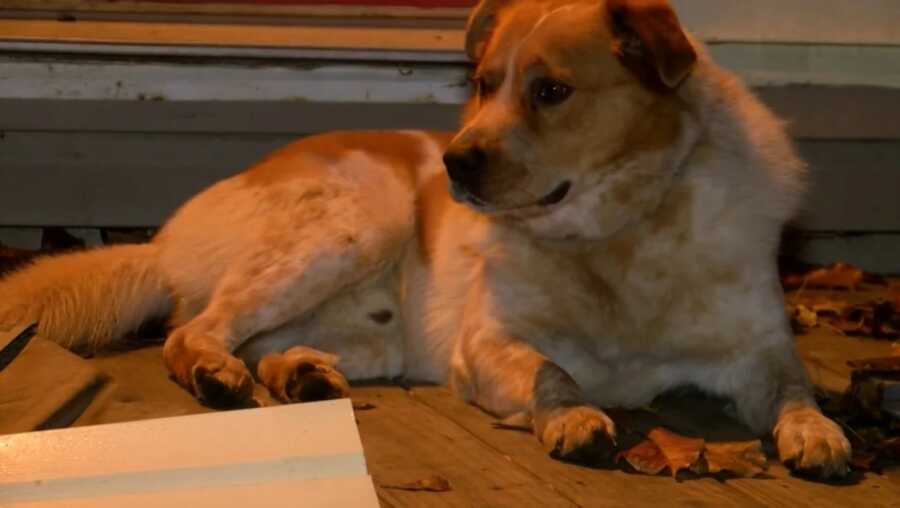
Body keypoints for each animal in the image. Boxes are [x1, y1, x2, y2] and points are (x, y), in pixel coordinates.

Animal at [0, 0, 852, 476]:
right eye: (483, 83)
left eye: (551, 91)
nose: (454, 164)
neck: (621, 236)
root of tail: (167, 237)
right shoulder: (488, 342)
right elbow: (552, 372)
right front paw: (573, 417)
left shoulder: (757, 352)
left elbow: (795, 388)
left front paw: (820, 435)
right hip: (360, 220)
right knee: (194, 331)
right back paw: (217, 373)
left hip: (377, 329)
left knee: (264, 342)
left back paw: (299, 375)